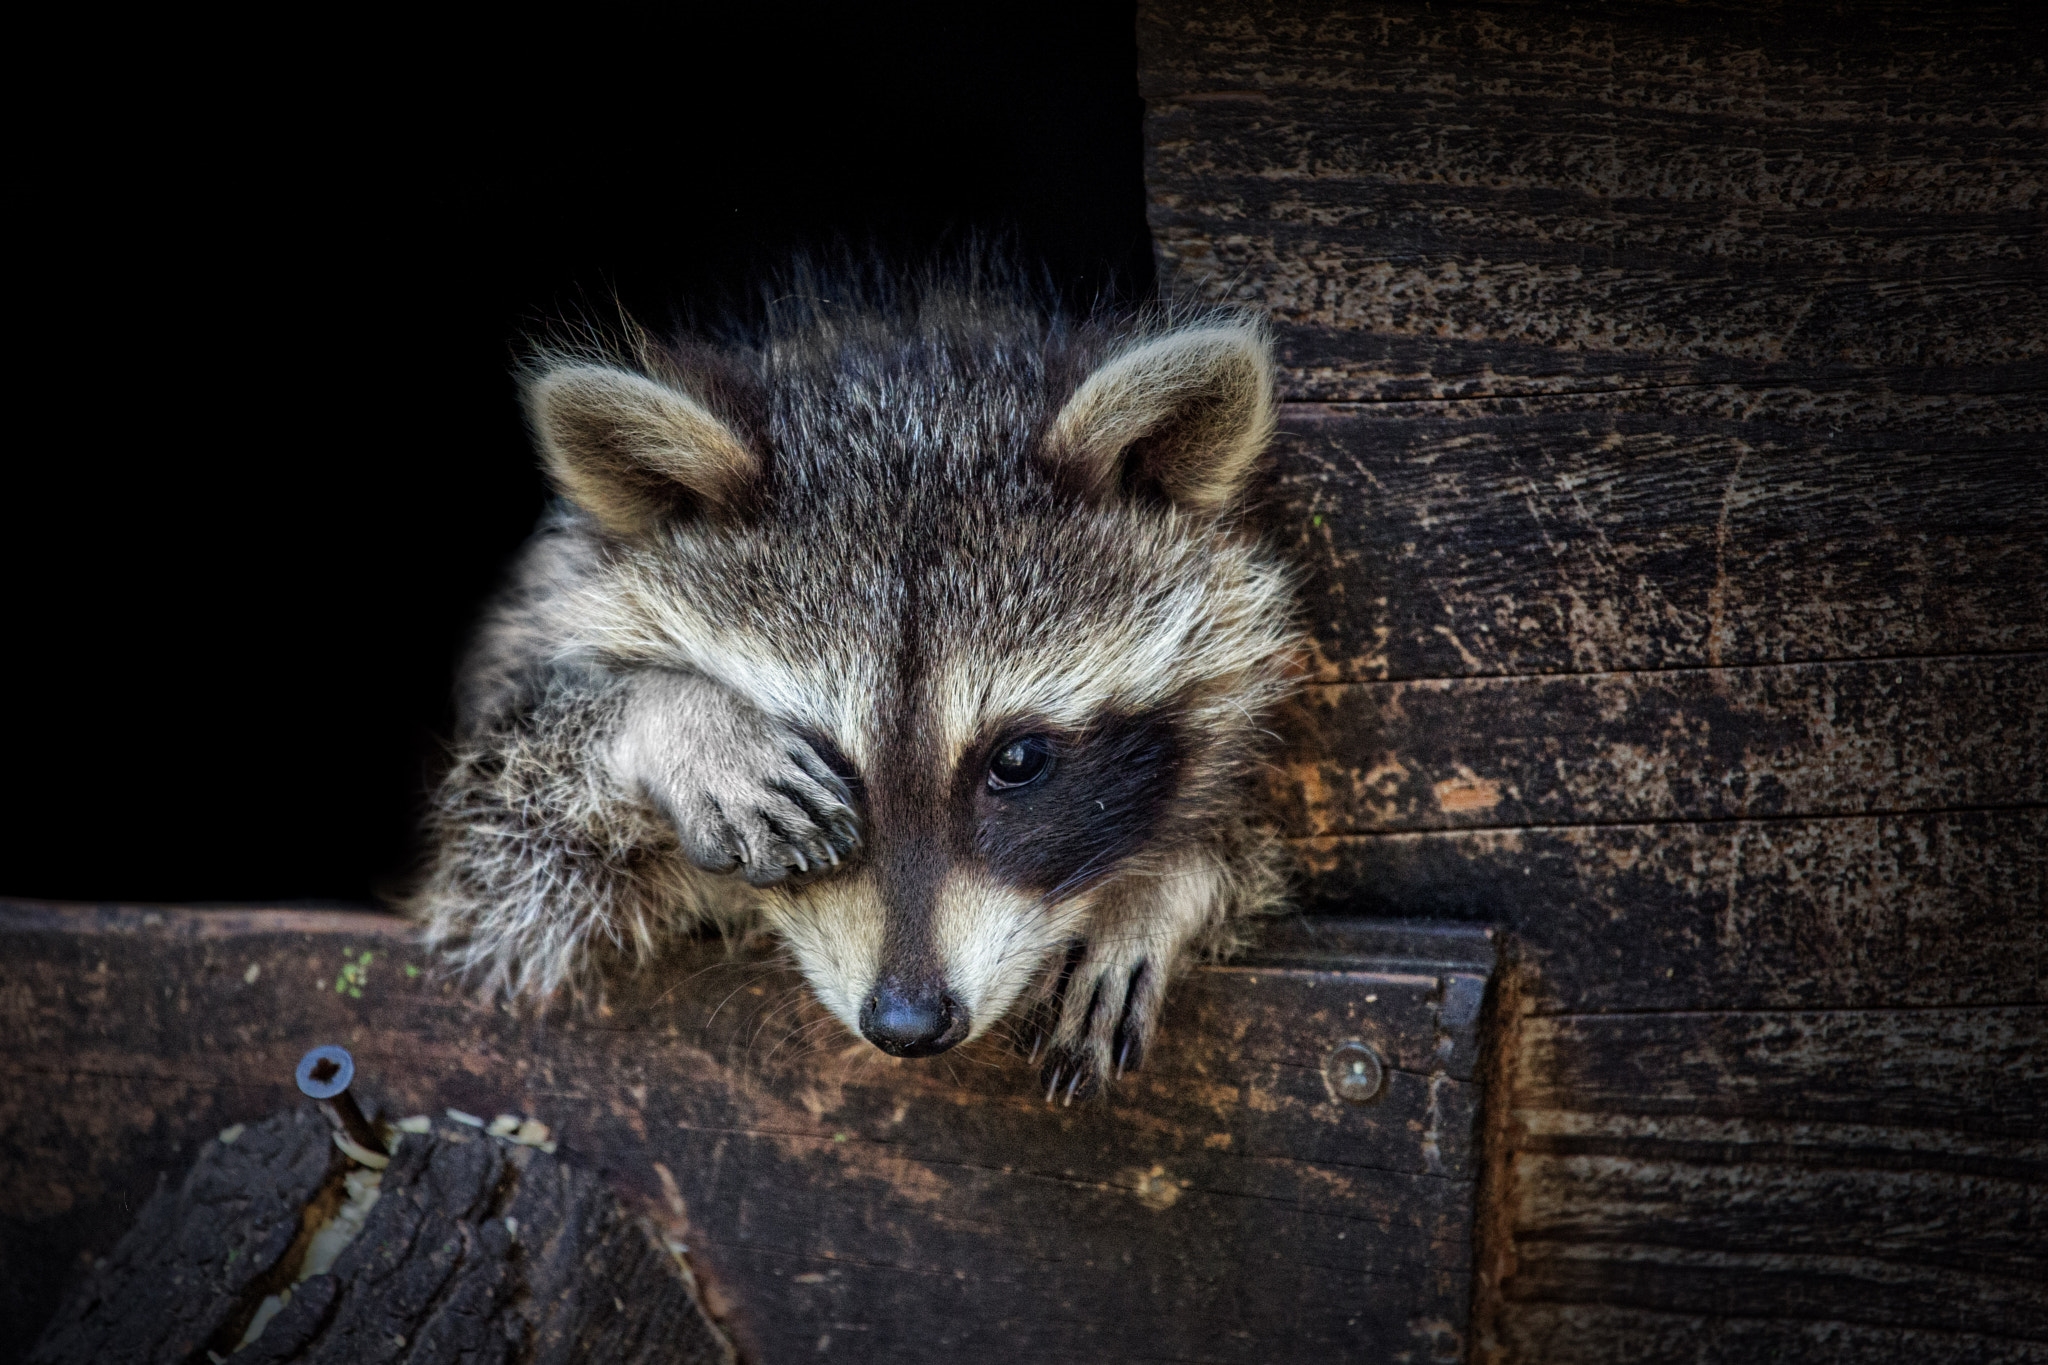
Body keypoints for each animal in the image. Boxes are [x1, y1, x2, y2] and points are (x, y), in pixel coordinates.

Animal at [411, 274, 1294, 1096]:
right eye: (823, 753)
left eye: (1017, 761)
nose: (909, 1023)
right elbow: (506, 831)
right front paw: (681, 719)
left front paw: (1158, 890)